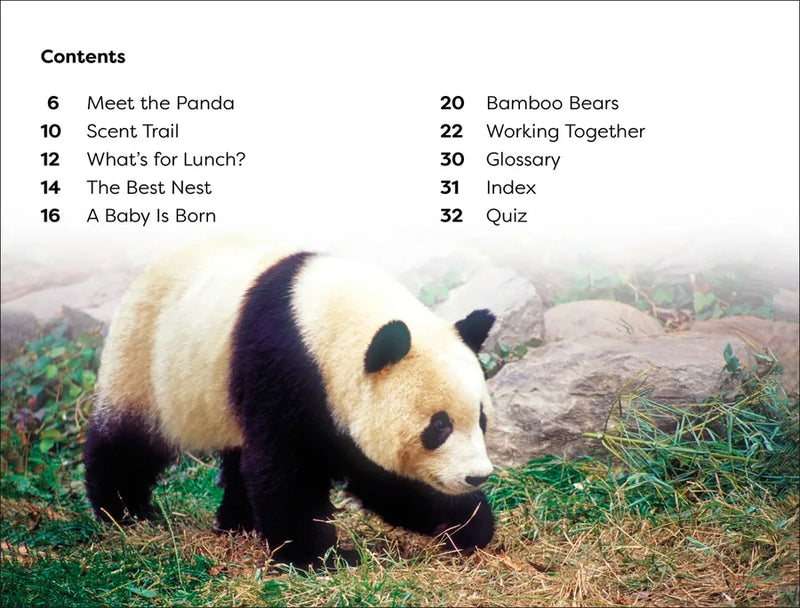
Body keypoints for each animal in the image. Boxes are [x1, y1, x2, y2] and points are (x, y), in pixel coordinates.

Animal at [83, 235, 497, 567]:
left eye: (481, 419)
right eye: (439, 426)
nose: (476, 475)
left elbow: (380, 476)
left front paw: (468, 523)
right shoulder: (285, 363)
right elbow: (285, 469)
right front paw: (317, 557)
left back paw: (237, 520)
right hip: (146, 356)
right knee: (129, 439)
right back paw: (124, 509)